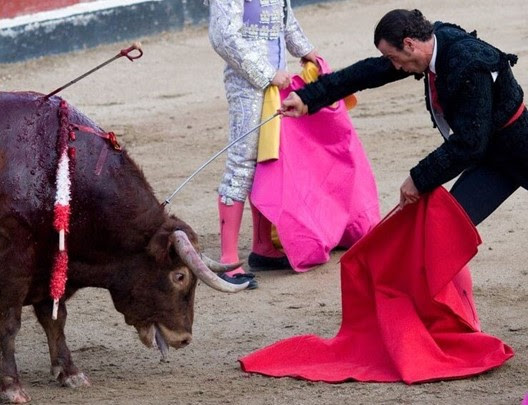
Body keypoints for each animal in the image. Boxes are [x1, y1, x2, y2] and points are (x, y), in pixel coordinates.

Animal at [0, 90, 245, 402]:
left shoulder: (51, 265)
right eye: (179, 276)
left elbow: (55, 319)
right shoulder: (15, 266)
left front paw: (71, 373)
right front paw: (11, 387)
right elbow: (10, 324)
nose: (184, 338)